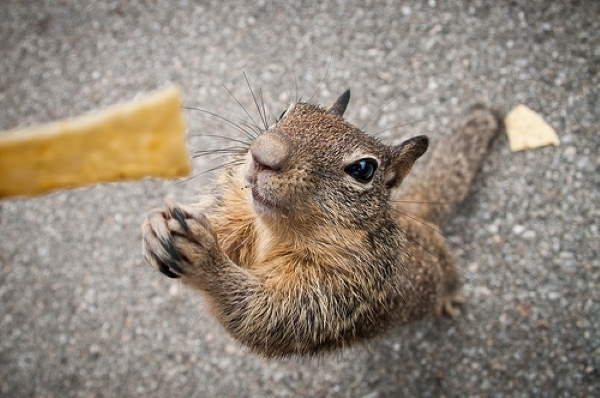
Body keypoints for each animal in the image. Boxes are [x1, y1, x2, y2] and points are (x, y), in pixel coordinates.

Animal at [141, 89, 496, 358]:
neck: (272, 229)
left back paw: (450, 295)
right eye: (284, 112)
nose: (263, 155)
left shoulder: (339, 288)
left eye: (364, 169)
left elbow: (268, 315)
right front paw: (156, 227)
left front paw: (208, 262)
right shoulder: (236, 212)